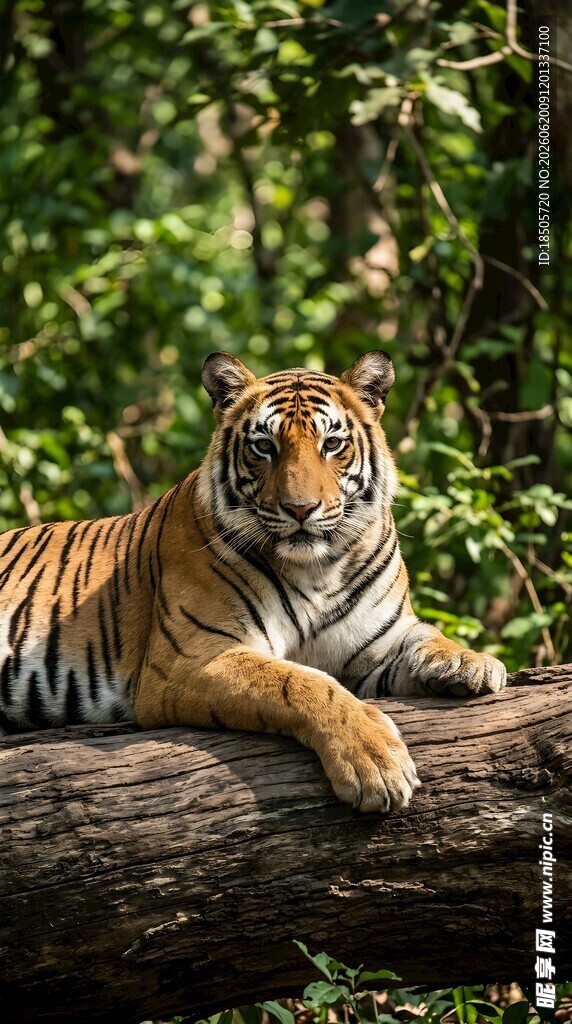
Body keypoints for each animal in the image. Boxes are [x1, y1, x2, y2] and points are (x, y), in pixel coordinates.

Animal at [0, 350, 507, 811]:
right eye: (265, 446)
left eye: (331, 444)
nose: (301, 509)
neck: (319, 569)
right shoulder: (193, 658)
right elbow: (302, 684)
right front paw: (376, 763)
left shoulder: (375, 643)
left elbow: (425, 637)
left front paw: (472, 662)